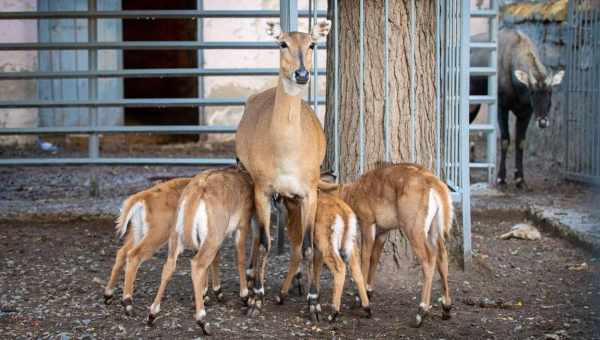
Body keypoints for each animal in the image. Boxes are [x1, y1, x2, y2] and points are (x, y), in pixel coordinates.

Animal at [148, 167, 255, 334]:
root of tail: (197, 189)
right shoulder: (242, 226)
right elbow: (240, 258)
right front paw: (244, 295)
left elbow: (215, 260)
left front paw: (212, 292)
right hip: (213, 237)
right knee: (197, 265)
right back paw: (203, 321)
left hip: (178, 238)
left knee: (169, 266)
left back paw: (152, 314)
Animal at [233, 19, 330, 316]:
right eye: (282, 43)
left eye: (312, 44)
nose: (301, 74)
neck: (286, 152)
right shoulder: (262, 188)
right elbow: (265, 242)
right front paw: (256, 299)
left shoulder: (309, 191)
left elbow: (309, 246)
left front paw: (314, 302)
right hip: (249, 177)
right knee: (255, 231)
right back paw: (252, 277)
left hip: (290, 197)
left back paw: (295, 282)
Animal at [278, 193, 372, 322]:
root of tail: (344, 213)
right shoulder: (317, 251)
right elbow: (315, 272)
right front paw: (314, 303)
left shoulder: (297, 244)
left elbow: (294, 266)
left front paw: (281, 296)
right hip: (349, 244)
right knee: (357, 271)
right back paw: (367, 308)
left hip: (327, 243)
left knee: (340, 267)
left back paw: (334, 313)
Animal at [322, 163, 452, 328]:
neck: (350, 192)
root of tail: (434, 183)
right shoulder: (383, 230)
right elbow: (374, 258)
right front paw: (369, 291)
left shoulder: (367, 222)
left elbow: (365, 257)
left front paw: (359, 298)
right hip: (435, 230)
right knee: (442, 256)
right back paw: (446, 308)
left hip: (413, 229)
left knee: (429, 260)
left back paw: (421, 312)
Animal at [472, 28, 564, 189]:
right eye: (532, 91)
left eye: (550, 91)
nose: (543, 122)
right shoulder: (501, 107)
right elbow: (505, 139)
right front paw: (501, 178)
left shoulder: (526, 112)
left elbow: (520, 142)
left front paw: (520, 179)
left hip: (474, 103)